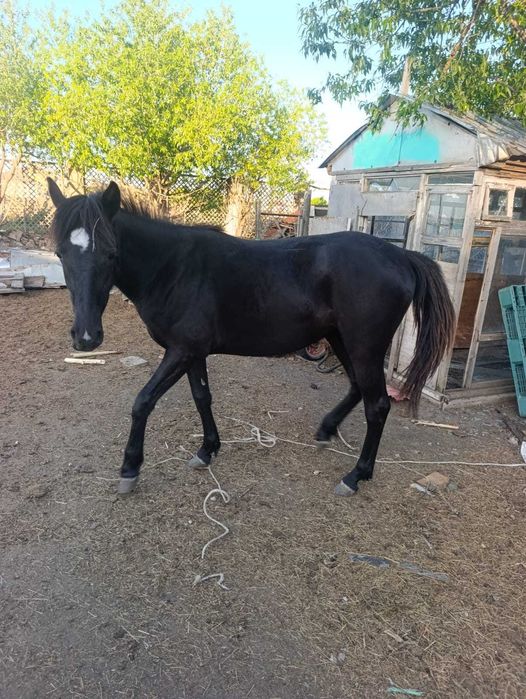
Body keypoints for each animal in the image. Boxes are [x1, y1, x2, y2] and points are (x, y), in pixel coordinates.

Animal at [47, 178, 455, 497]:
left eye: (111, 253)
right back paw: (326, 430)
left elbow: (142, 402)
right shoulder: (193, 353)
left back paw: (356, 475)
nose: (86, 337)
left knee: (378, 406)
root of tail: (402, 256)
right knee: (357, 387)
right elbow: (202, 398)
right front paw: (207, 450)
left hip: (365, 347)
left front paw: (130, 468)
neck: (174, 267)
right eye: (60, 252)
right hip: (342, 340)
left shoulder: (180, 351)